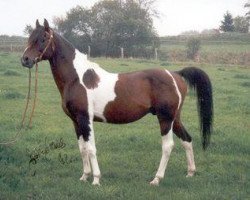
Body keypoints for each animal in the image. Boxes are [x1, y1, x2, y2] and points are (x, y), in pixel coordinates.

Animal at [21, 19, 213, 187]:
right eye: (30, 37)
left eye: (43, 38)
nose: (25, 60)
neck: (77, 78)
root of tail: (175, 74)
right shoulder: (76, 121)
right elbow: (82, 148)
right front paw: (84, 177)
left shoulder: (85, 119)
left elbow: (91, 148)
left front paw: (96, 180)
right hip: (175, 118)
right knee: (187, 140)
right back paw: (190, 172)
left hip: (165, 118)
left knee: (168, 146)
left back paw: (156, 179)